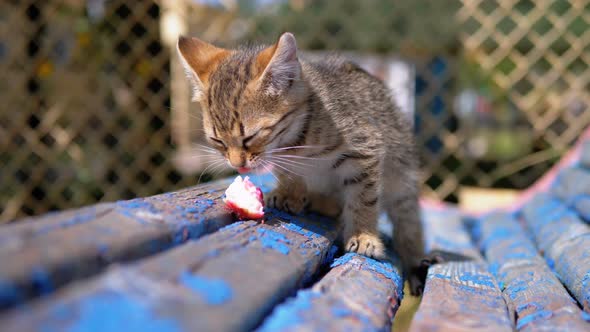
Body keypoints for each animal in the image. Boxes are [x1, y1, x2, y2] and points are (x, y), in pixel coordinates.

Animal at [178, 32, 428, 294]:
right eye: (217, 141)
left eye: (250, 137)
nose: (238, 165)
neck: (297, 141)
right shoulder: (280, 155)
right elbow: (288, 173)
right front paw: (289, 193)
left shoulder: (367, 146)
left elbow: (363, 200)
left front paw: (363, 235)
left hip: (402, 179)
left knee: (408, 221)